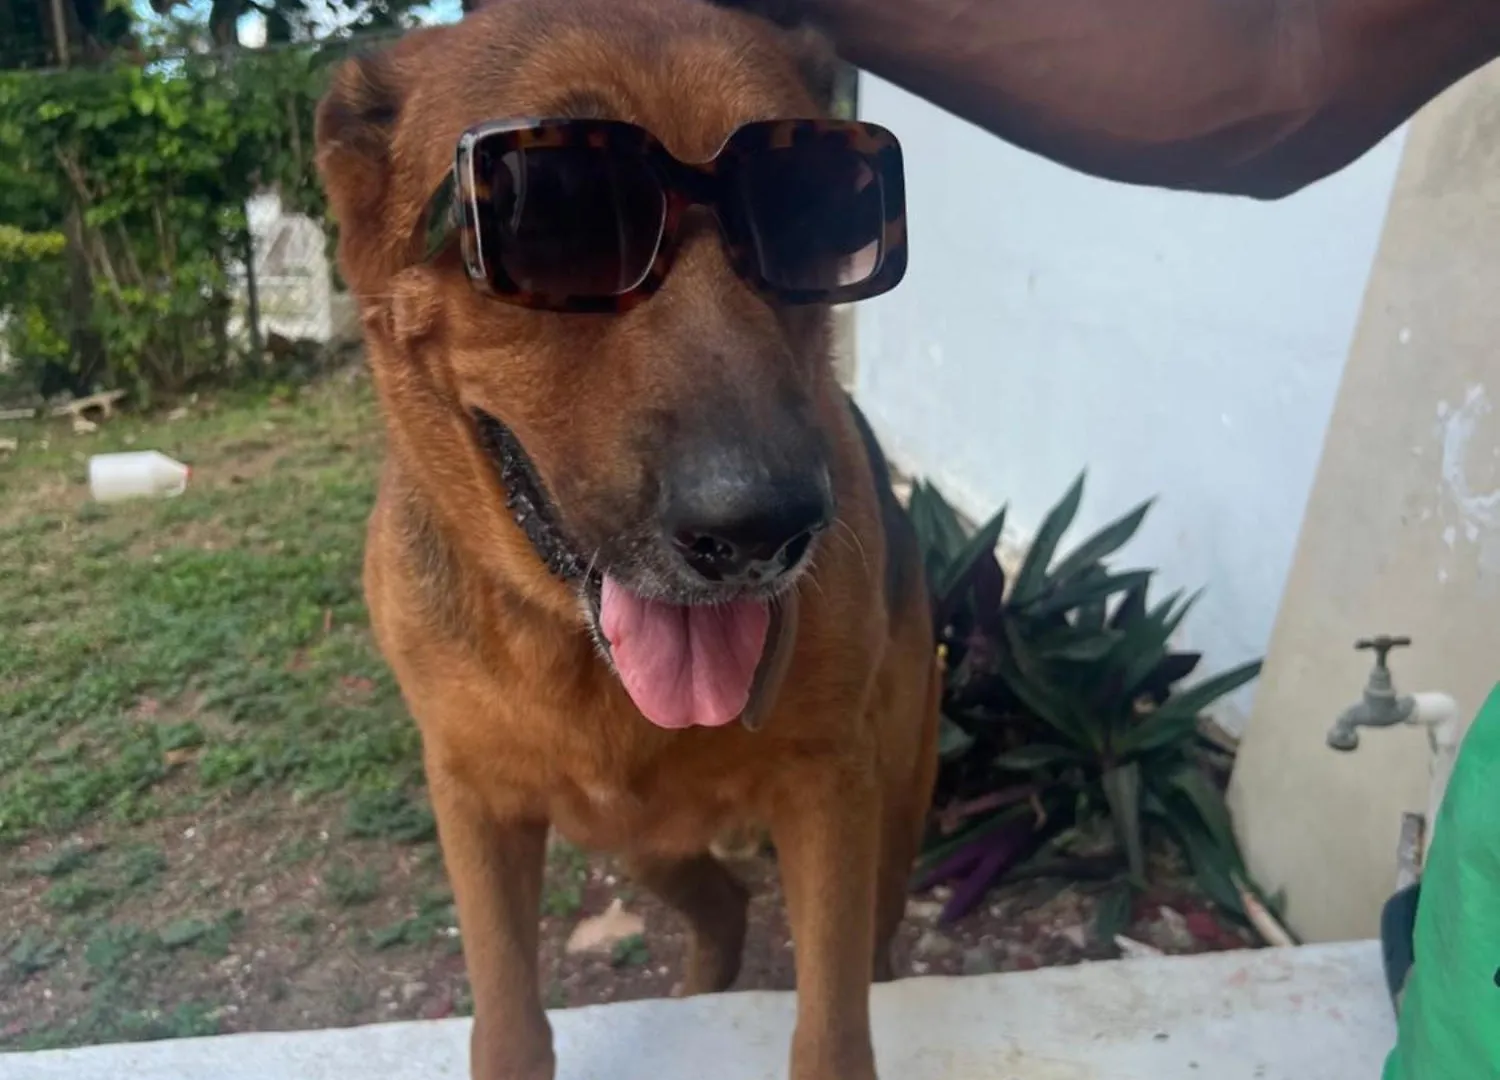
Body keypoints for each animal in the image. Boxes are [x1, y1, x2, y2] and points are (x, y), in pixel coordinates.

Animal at [316, 4, 936, 1074]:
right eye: (553, 210)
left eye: (812, 211)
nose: (764, 529)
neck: (572, 650)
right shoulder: (474, 800)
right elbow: (509, 1020)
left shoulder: (832, 794)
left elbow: (832, 1026)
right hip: (635, 834)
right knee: (722, 904)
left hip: (888, 815)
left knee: (867, 935)